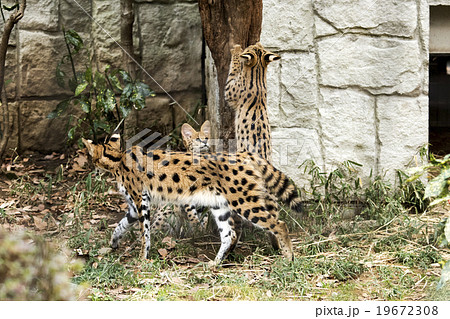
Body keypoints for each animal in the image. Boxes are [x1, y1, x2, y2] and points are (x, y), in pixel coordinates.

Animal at [84, 132, 302, 264]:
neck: (118, 159)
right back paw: (214, 263)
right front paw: (113, 244)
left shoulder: (140, 202)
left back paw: (288, 256)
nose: (90, 166)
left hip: (245, 202)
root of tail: (243, 155)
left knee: (279, 224)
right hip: (220, 206)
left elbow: (144, 233)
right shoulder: (133, 206)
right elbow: (120, 225)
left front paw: (142, 258)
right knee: (229, 234)